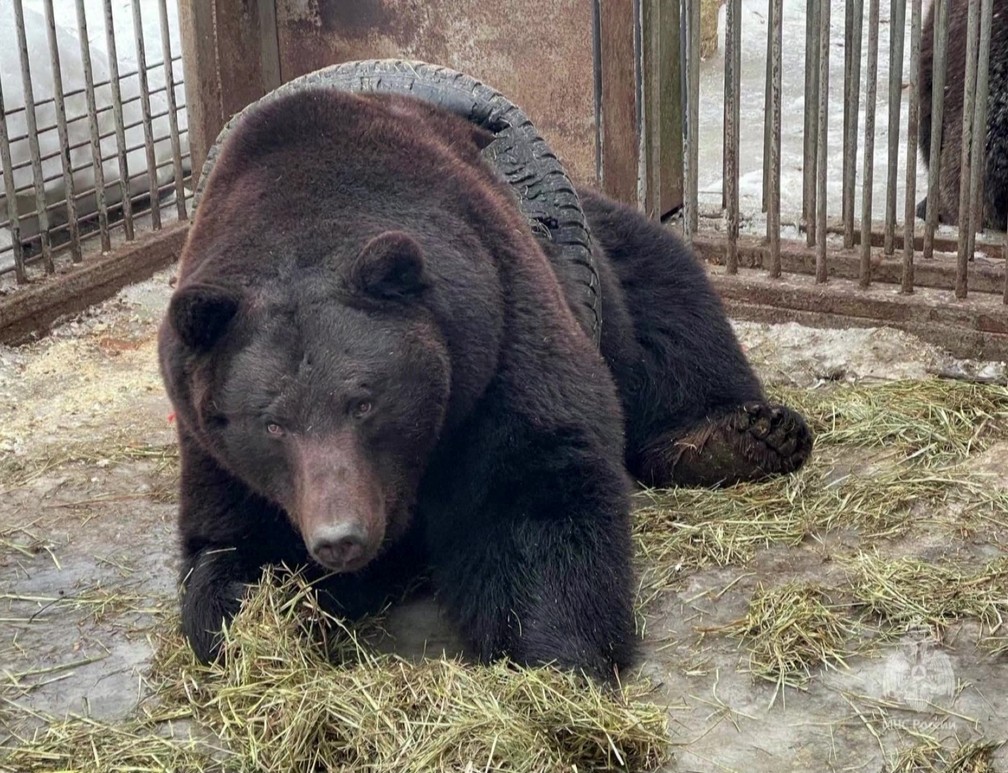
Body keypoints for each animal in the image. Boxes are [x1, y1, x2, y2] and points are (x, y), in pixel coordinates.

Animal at [158, 88, 813, 681]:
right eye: (271, 423)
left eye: (364, 402)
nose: (340, 537)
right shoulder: (217, 446)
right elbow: (233, 548)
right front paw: (257, 627)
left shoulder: (494, 332)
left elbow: (531, 487)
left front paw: (556, 653)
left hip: (609, 266)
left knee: (670, 305)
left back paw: (742, 436)